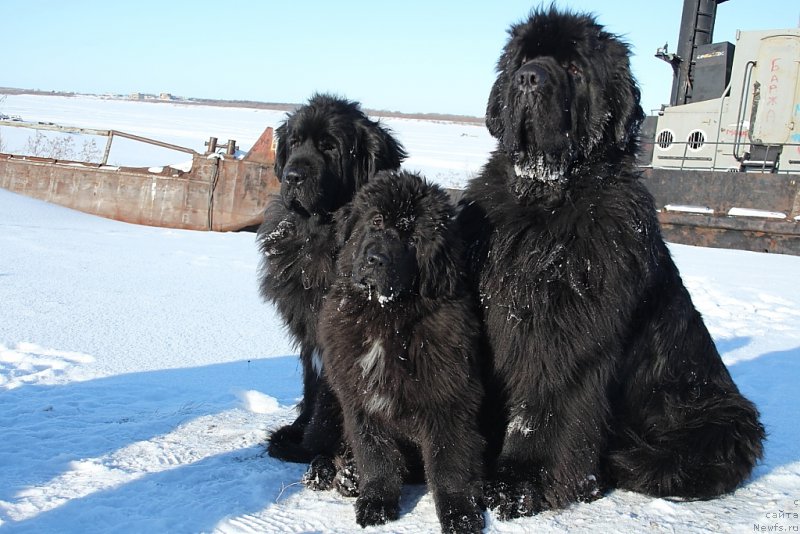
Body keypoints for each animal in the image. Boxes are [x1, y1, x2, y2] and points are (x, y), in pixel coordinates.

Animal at [258, 95, 406, 464]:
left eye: (330, 147)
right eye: (295, 142)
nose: (293, 175)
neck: (319, 237)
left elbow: (330, 398)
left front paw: (314, 449)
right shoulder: (309, 330)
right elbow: (312, 386)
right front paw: (296, 431)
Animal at [318, 173, 482, 534]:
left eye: (413, 238)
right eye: (376, 221)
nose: (375, 260)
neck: (385, 319)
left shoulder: (449, 400)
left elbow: (448, 462)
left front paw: (459, 514)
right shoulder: (359, 400)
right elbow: (375, 455)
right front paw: (376, 503)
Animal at [456, 7, 764, 520]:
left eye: (574, 69)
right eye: (522, 59)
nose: (529, 78)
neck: (546, 204)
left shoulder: (568, 334)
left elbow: (545, 406)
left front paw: (521, 482)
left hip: (720, 419)